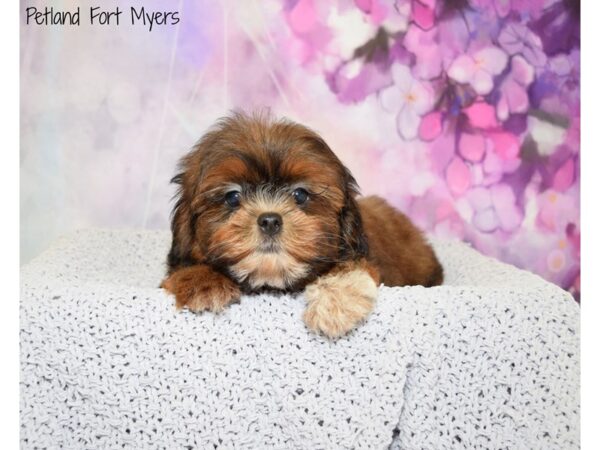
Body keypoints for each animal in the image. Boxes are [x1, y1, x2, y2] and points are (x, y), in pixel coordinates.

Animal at [162, 111, 442, 338]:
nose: (270, 220)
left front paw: (335, 303)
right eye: (232, 197)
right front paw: (201, 282)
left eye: (300, 195)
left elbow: (350, 269)